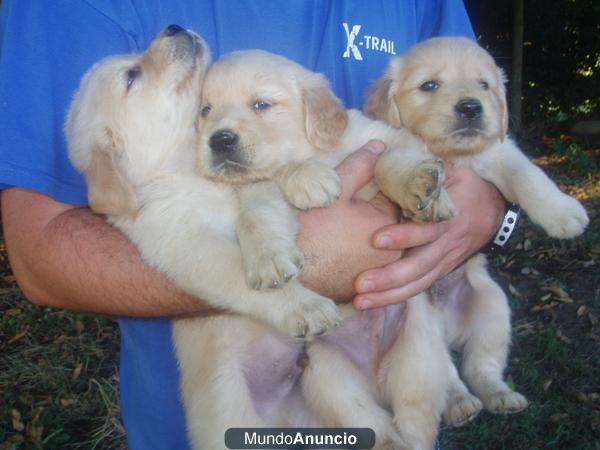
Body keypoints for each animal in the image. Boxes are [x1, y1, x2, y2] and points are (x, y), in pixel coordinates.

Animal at [197, 49, 464, 450]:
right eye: (205, 110)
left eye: (261, 104)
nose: (219, 140)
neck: (314, 152)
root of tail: (375, 373)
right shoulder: (256, 190)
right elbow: (256, 215)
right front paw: (270, 256)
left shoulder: (385, 138)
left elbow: (388, 161)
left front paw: (420, 188)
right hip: (328, 376)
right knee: (377, 429)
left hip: (418, 362)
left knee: (416, 422)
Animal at [364, 37, 588, 426]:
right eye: (429, 85)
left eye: (484, 85)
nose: (471, 107)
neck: (452, 154)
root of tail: (449, 328)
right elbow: (391, 168)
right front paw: (423, 197)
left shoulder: (500, 153)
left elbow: (528, 174)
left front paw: (563, 213)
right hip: (422, 328)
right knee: (448, 376)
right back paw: (460, 403)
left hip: (494, 308)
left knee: (480, 366)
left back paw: (501, 395)